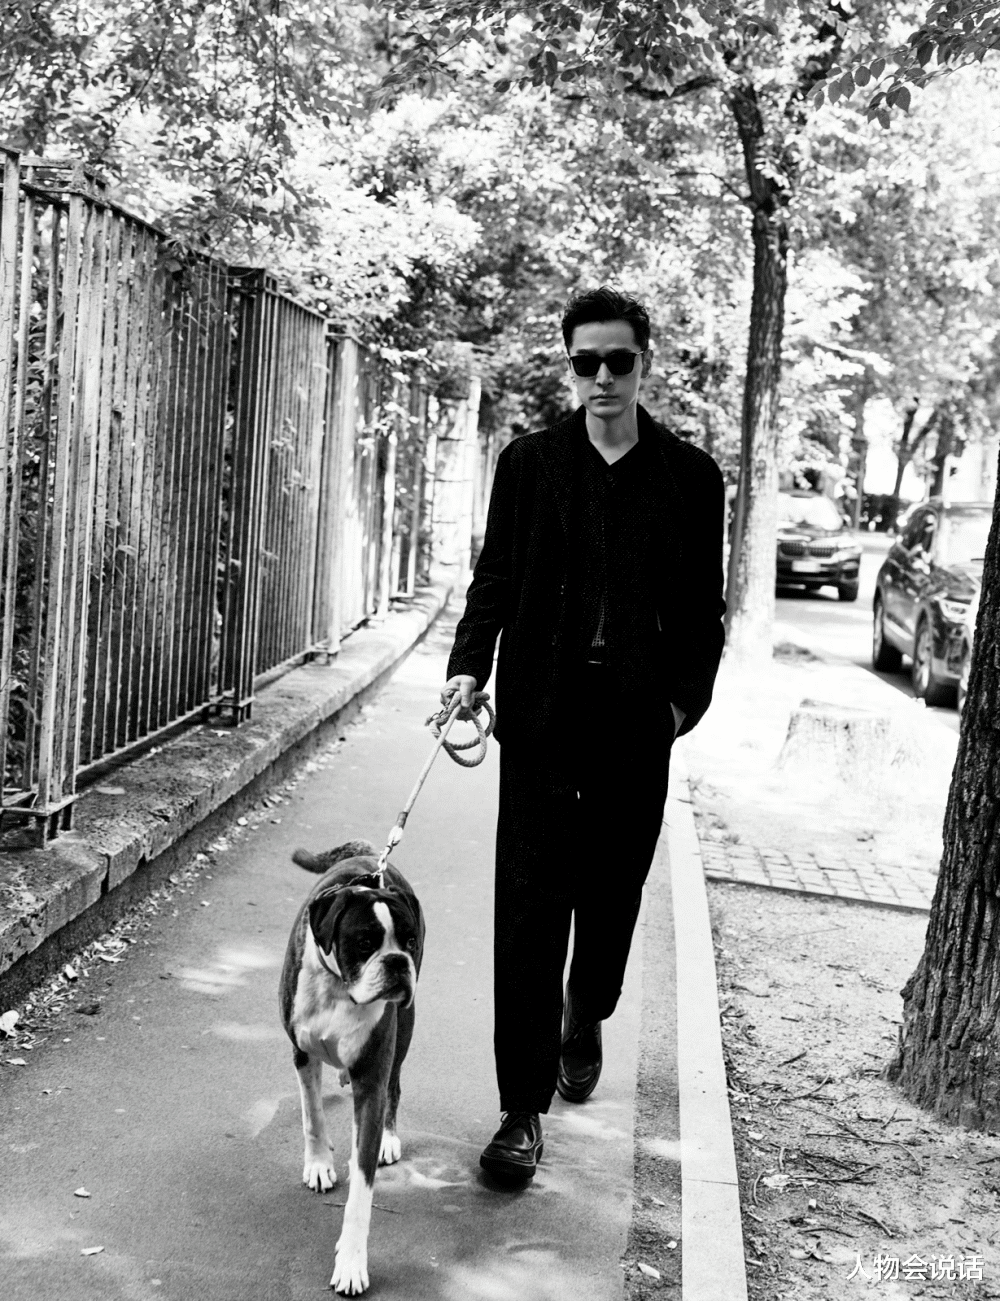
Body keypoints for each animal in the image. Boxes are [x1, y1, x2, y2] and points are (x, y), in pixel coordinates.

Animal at [280, 839, 425, 1295]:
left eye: (409, 940)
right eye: (364, 942)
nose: (397, 961)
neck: (339, 988)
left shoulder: (371, 1084)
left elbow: (361, 1191)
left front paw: (351, 1263)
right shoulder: (303, 1054)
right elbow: (312, 1115)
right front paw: (318, 1164)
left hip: (405, 1028)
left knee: (396, 1086)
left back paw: (388, 1138)